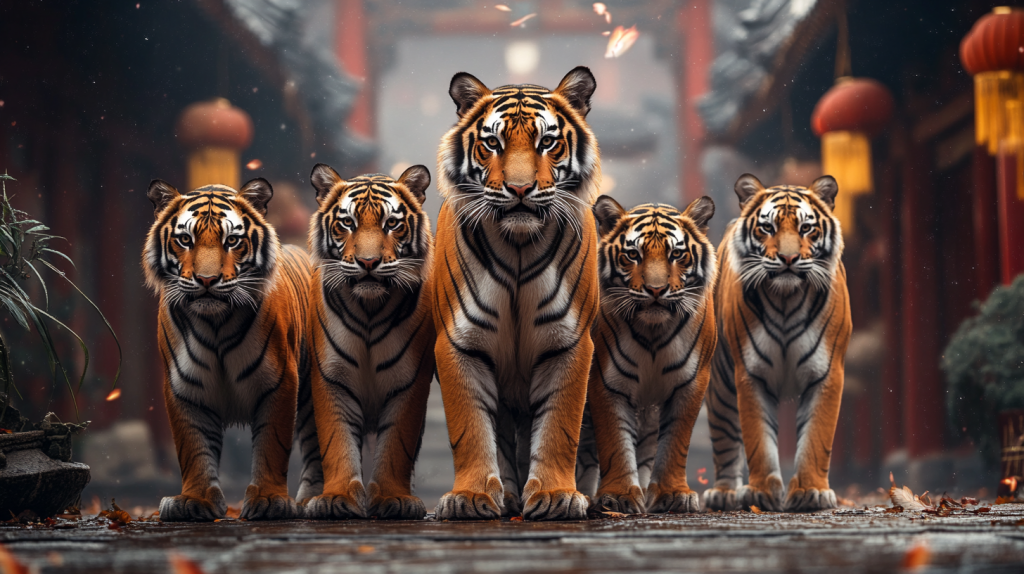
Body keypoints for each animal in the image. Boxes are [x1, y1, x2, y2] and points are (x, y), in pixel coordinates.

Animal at [143, 178, 323, 521]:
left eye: (232, 241)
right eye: (185, 240)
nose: (207, 280)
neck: (215, 324)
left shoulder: (279, 382)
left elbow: (272, 444)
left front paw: (269, 500)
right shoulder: (184, 388)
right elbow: (193, 447)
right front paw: (194, 501)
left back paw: (313, 499)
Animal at [302, 163, 436, 520]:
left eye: (392, 223)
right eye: (347, 222)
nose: (368, 262)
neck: (369, 310)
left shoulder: (409, 382)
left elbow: (397, 445)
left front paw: (394, 498)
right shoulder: (331, 379)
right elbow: (336, 441)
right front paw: (336, 499)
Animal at [432, 66, 601, 521]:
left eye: (547, 142)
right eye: (493, 143)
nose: (520, 189)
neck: (520, 245)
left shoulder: (568, 343)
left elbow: (560, 425)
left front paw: (557, 495)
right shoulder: (460, 343)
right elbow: (470, 428)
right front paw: (471, 497)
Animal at [575, 195, 718, 514]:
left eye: (677, 254)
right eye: (632, 255)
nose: (655, 290)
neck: (654, 332)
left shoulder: (690, 383)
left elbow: (675, 443)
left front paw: (673, 494)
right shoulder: (605, 383)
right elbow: (615, 442)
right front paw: (618, 497)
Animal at [702, 173, 852, 512]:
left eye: (806, 228)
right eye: (767, 227)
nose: (788, 258)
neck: (786, 299)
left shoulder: (827, 374)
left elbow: (816, 437)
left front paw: (811, 491)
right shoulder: (750, 374)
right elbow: (758, 439)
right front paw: (760, 493)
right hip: (720, 386)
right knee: (725, 440)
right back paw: (724, 493)